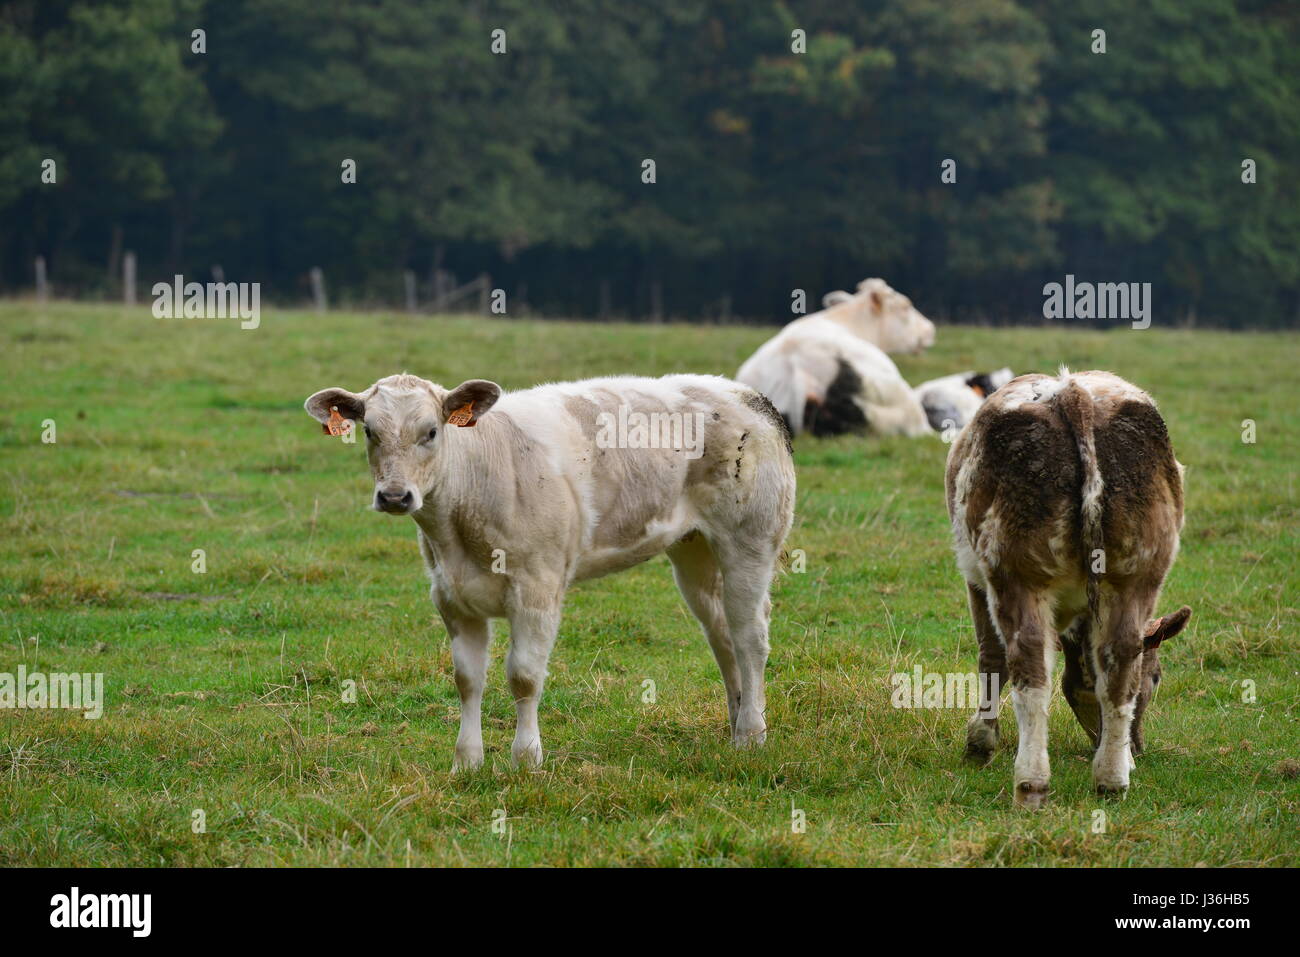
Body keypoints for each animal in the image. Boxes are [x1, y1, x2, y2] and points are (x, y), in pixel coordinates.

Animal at [305, 373, 795, 771]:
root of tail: (748, 396)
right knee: (723, 636)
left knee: (750, 637)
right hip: (695, 553)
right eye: (370, 431)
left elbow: (523, 676)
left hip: (749, 541)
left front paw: (526, 759)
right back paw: (736, 723)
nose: (394, 496)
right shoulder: (450, 596)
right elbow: (467, 680)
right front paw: (467, 762)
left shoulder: (536, 589)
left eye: (430, 431)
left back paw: (752, 734)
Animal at [945, 370, 1190, 807]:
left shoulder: (976, 578)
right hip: (1137, 574)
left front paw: (980, 742)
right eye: (1157, 677)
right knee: (1119, 662)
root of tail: (1074, 393)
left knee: (1027, 664)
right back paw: (1111, 778)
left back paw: (1031, 782)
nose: (1139, 747)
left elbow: (990, 658)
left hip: (1015, 572)